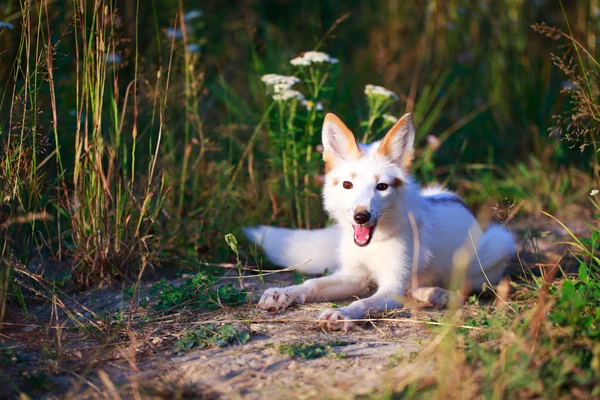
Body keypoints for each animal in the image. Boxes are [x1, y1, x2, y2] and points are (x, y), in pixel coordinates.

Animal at [244, 111, 516, 328]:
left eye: (382, 187)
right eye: (348, 185)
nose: (361, 216)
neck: (374, 244)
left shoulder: (391, 288)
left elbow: (363, 303)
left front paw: (341, 313)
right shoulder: (354, 275)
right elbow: (313, 284)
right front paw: (284, 292)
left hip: (498, 243)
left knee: (465, 286)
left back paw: (441, 294)